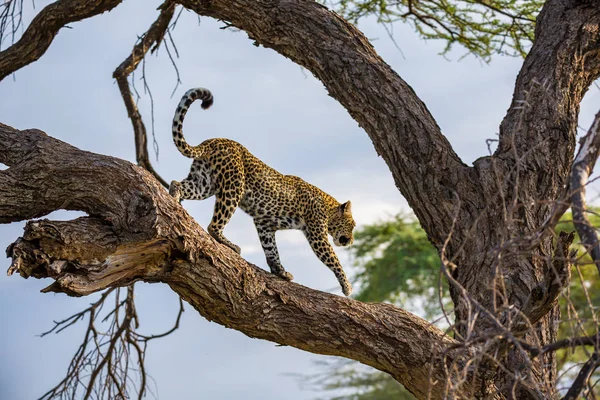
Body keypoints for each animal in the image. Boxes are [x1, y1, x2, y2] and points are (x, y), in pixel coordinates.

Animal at [169, 89, 356, 296]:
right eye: (352, 225)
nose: (351, 241)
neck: (327, 207)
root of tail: (212, 140)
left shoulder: (264, 223)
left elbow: (271, 250)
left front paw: (280, 272)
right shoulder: (317, 235)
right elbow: (333, 259)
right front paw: (347, 286)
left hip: (204, 183)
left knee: (178, 183)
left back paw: (174, 197)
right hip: (233, 186)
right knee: (214, 225)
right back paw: (231, 245)